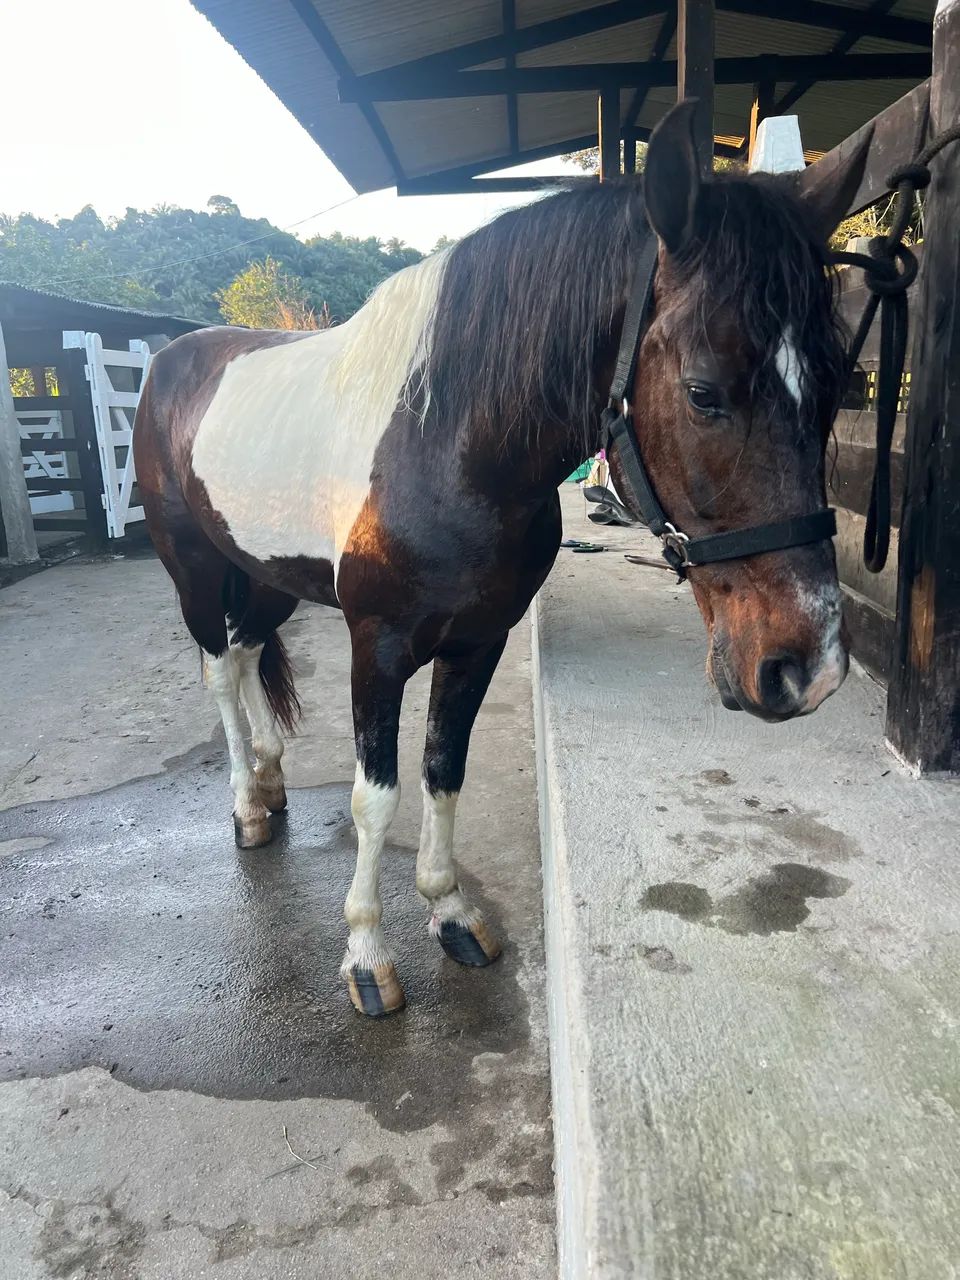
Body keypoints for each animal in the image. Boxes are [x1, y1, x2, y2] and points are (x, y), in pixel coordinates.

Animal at [133, 101, 868, 1017]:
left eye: (837, 383)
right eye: (703, 392)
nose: (808, 667)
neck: (445, 440)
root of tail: (167, 361)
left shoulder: (479, 640)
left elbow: (444, 771)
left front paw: (451, 911)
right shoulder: (376, 647)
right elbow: (375, 797)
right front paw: (367, 954)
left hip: (266, 575)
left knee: (245, 651)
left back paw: (269, 781)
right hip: (193, 570)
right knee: (219, 672)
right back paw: (246, 806)